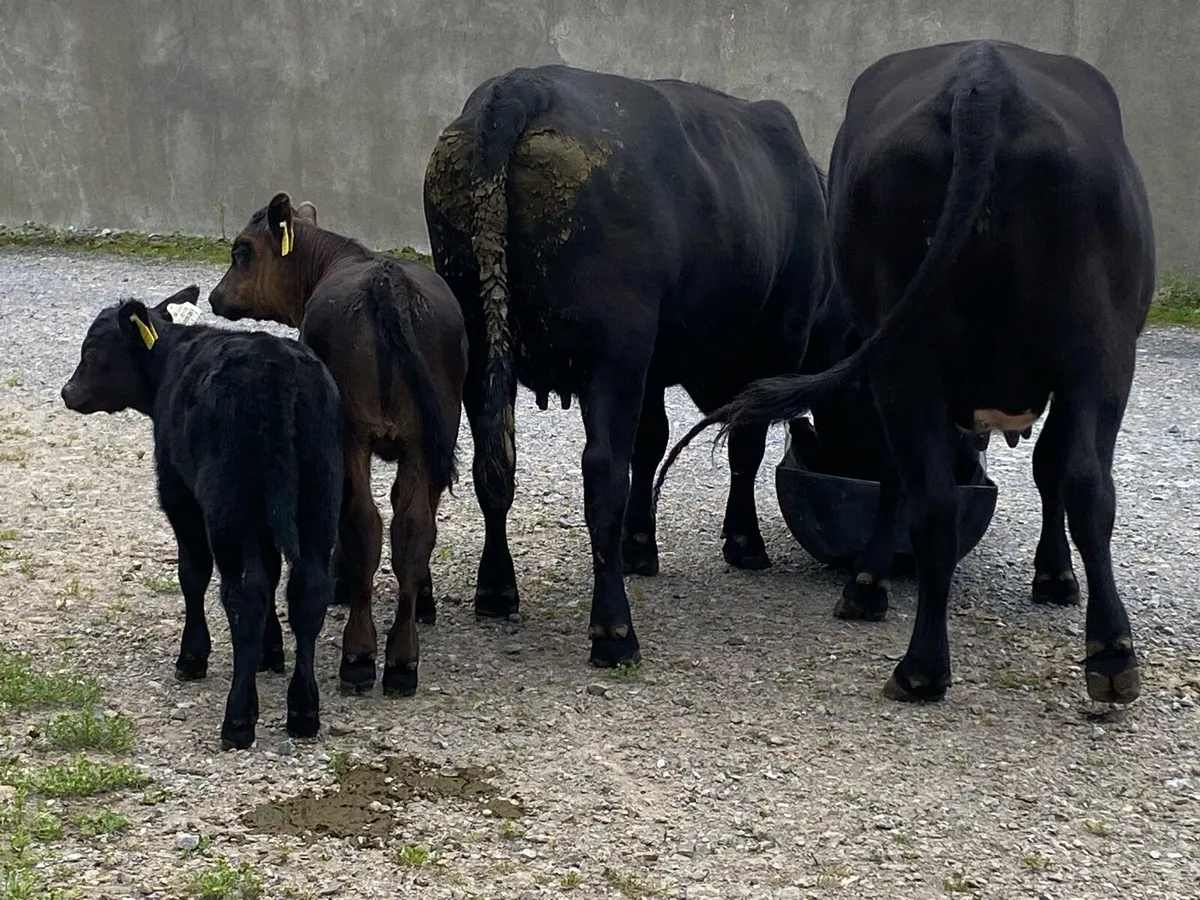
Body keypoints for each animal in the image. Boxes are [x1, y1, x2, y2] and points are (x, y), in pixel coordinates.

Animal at [61, 285, 343, 750]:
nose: (68, 392)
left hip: (229, 505)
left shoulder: (178, 494)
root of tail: (278, 368)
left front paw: (193, 656)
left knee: (243, 594)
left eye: (92, 350)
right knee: (308, 590)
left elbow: (192, 573)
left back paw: (239, 720)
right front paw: (270, 652)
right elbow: (269, 573)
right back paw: (303, 711)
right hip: (319, 499)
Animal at [208, 192, 467, 698]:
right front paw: (424, 597)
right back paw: (402, 660)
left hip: (351, 433)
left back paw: (359, 656)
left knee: (362, 520)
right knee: (412, 526)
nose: (214, 296)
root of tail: (386, 280)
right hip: (431, 434)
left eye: (242, 250)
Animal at [423, 64, 834, 667]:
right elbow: (744, 445)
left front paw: (640, 547)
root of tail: (525, 84)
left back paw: (497, 590)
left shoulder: (653, 368)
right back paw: (614, 629)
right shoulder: (774, 342)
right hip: (611, 359)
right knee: (602, 473)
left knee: (494, 463)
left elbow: (653, 440)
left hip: (479, 340)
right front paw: (744, 542)